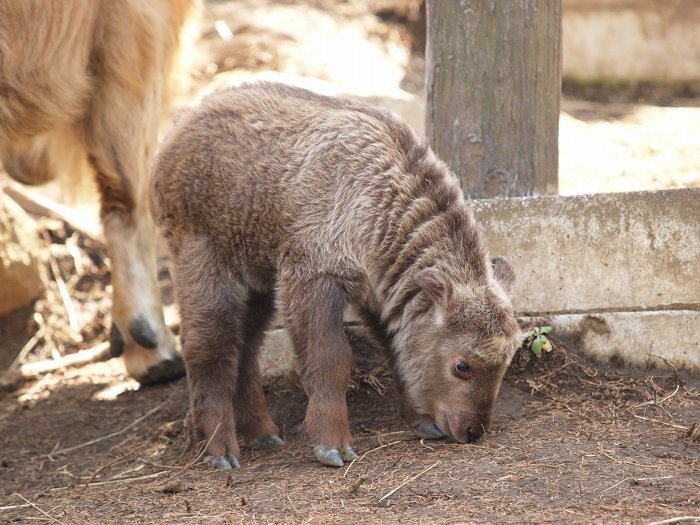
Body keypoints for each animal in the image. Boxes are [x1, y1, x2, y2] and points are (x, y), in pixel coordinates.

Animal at [153, 82, 524, 466]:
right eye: (462, 366)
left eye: (506, 361)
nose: (473, 430)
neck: (381, 206)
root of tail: (177, 131)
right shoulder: (314, 276)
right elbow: (331, 358)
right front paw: (332, 444)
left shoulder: (379, 292)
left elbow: (395, 350)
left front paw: (421, 421)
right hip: (205, 262)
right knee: (208, 347)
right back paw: (219, 450)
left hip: (257, 282)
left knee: (246, 348)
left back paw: (264, 433)